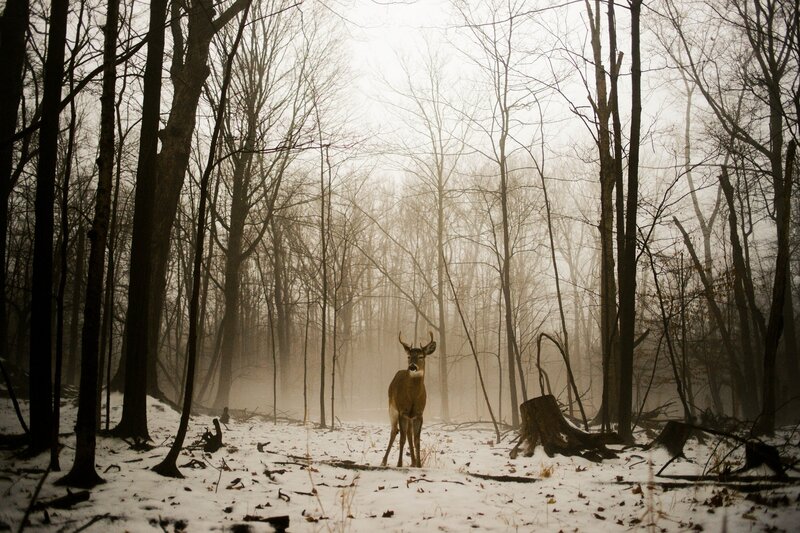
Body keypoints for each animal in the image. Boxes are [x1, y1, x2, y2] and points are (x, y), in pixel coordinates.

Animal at [381, 331, 436, 468]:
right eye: (408, 356)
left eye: (421, 356)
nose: (412, 367)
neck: (413, 398)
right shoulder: (402, 411)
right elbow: (402, 439)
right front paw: (399, 464)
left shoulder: (419, 414)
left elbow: (417, 440)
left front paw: (419, 465)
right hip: (392, 409)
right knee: (394, 431)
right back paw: (384, 461)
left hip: (410, 417)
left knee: (409, 434)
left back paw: (413, 462)